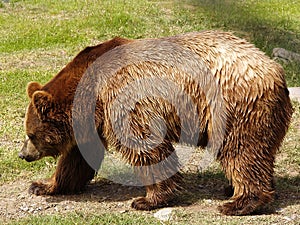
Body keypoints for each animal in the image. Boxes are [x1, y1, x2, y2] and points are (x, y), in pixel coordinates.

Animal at [19, 30, 292, 215]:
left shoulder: (123, 101)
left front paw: (147, 200)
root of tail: (275, 70)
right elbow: (77, 158)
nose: (23, 154)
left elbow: (147, 148)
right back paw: (234, 189)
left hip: (234, 107)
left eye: (31, 134)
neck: (90, 92)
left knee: (241, 152)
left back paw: (239, 202)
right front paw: (44, 185)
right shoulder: (93, 123)